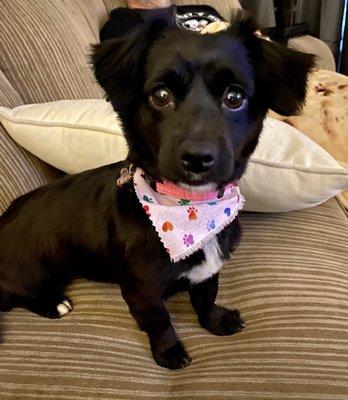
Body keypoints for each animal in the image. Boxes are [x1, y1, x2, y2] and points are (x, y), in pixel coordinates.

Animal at [0, 10, 314, 372]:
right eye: (161, 95)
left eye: (234, 97)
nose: (197, 157)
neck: (191, 211)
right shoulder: (142, 291)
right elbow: (159, 321)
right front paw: (169, 352)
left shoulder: (208, 272)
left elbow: (206, 299)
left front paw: (216, 321)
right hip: (29, 273)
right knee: (13, 295)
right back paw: (53, 304)